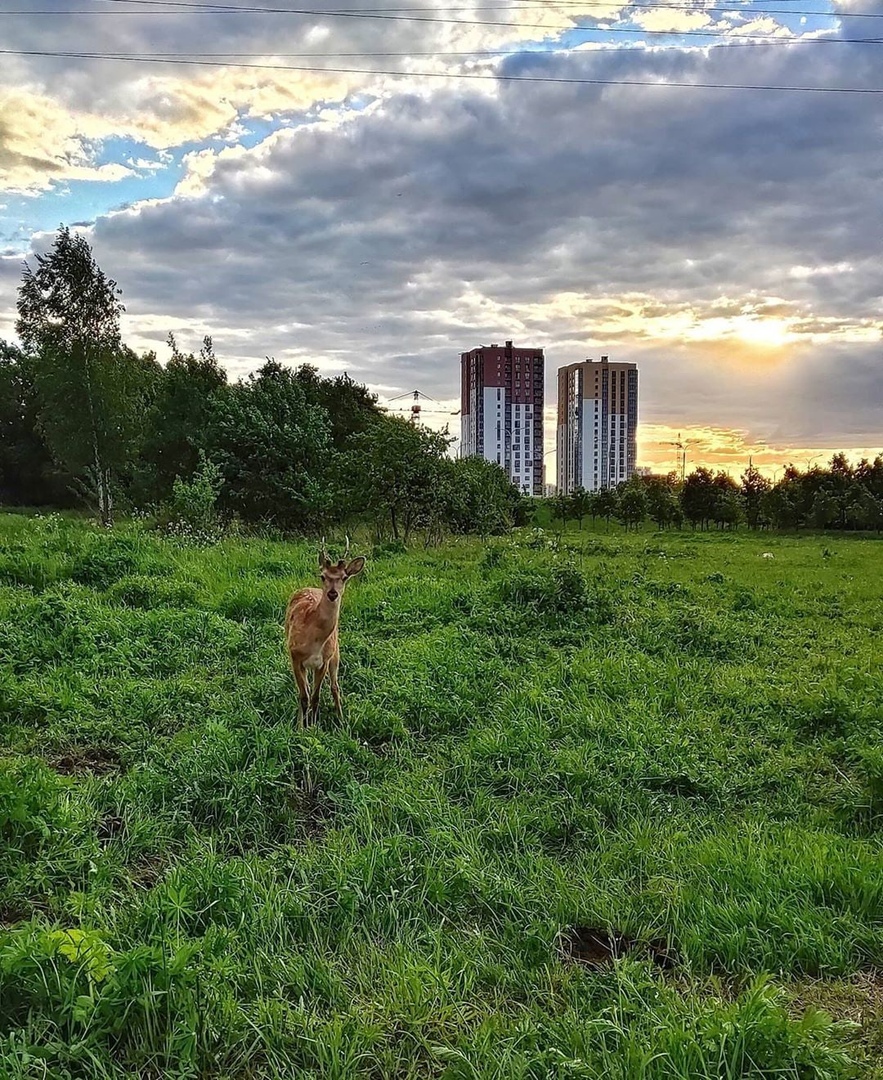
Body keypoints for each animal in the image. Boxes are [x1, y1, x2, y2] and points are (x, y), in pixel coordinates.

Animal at [282, 533, 362, 725]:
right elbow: (304, 697)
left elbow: (315, 697)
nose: (332, 593)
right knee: (306, 690)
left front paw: (312, 725)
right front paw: (300, 727)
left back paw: (341, 719)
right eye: (323, 576)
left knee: (334, 686)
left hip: (336, 653)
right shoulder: (294, 656)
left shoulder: (323, 662)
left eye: (344, 577)